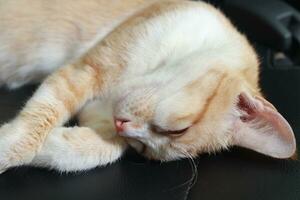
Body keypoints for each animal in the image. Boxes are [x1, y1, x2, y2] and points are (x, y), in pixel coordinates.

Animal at [0, 0, 296, 173]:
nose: (122, 125)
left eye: (144, 150)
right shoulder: (86, 71)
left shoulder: (98, 113)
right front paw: (9, 150)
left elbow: (106, 148)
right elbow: (36, 125)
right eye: (178, 129)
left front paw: (51, 145)